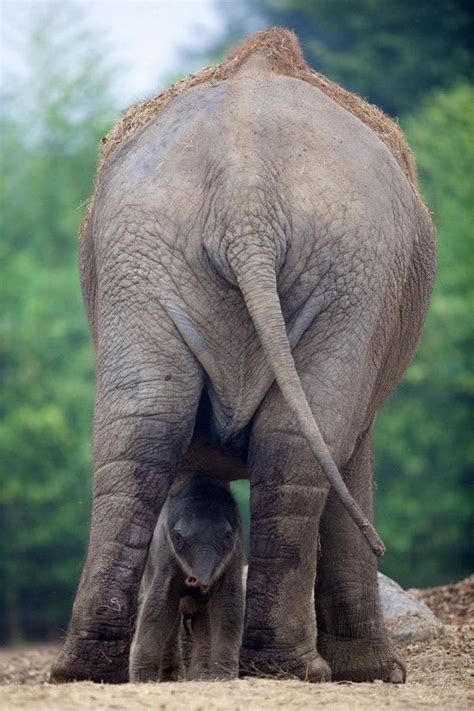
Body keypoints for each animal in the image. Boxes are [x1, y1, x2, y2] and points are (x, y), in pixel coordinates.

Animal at [131, 470, 246, 680]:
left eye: (228, 537)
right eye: (178, 537)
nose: (195, 582)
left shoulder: (236, 553)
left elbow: (229, 604)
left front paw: (223, 678)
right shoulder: (164, 552)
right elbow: (159, 605)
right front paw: (143, 680)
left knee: (203, 620)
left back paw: (200, 676)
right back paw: (173, 678)